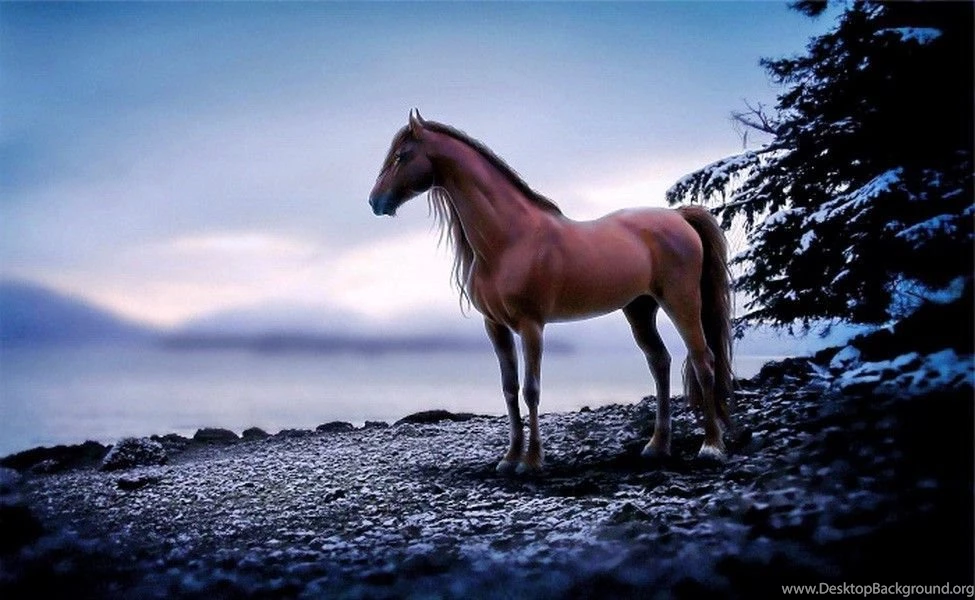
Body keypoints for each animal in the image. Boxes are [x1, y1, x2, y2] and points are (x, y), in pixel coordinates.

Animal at [368, 109, 734, 474]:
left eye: (401, 156)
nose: (375, 201)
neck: (510, 239)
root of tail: (679, 217)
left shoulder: (531, 325)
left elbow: (531, 390)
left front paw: (530, 462)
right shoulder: (495, 326)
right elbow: (509, 389)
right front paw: (509, 458)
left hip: (681, 302)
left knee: (703, 361)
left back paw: (711, 447)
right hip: (639, 309)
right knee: (660, 362)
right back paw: (657, 446)